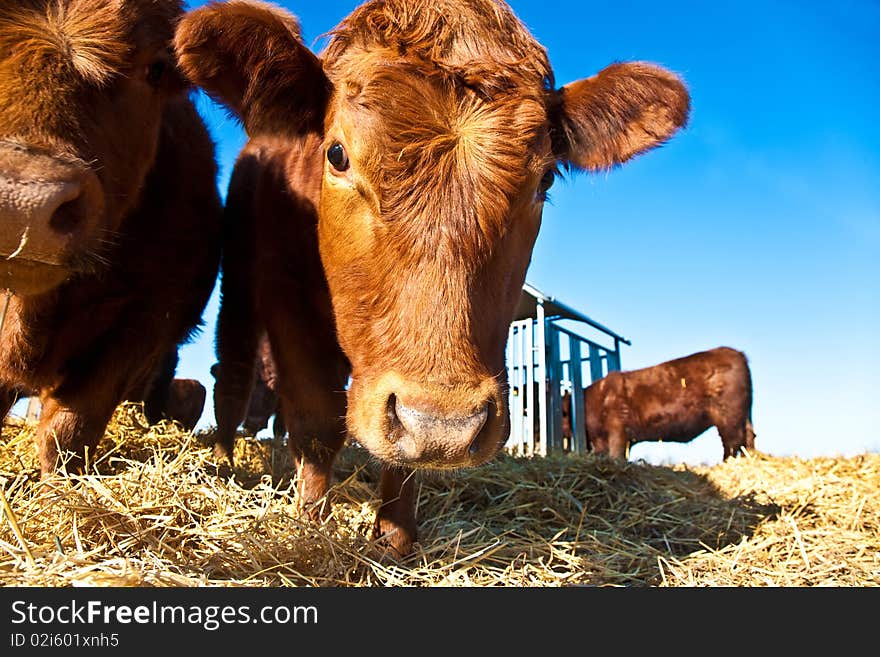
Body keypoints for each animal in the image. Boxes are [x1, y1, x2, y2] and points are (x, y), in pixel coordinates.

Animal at [175, 0, 692, 552]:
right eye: (337, 155)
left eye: (545, 178)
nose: (442, 425)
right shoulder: (286, 296)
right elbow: (315, 421)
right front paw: (310, 524)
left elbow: (403, 460)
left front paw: (395, 538)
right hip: (239, 283)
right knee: (233, 373)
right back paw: (223, 462)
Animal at [564, 346, 756, 458]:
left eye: (563, 412)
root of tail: (737, 353)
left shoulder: (617, 430)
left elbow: (616, 455)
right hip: (743, 414)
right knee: (749, 435)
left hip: (728, 415)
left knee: (733, 441)